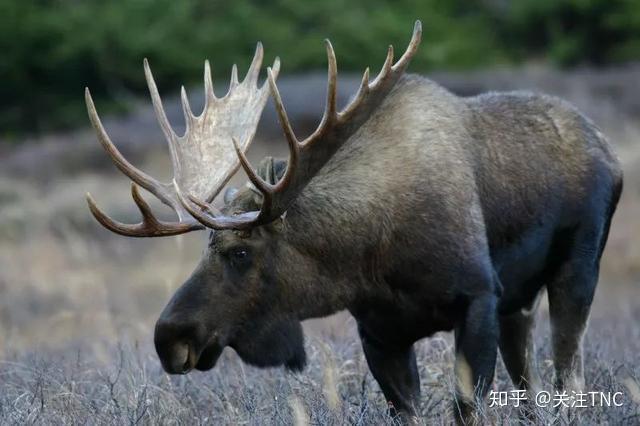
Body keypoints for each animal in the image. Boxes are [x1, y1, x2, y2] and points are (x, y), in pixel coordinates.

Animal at [84, 21, 623, 424]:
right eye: (206, 246)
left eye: (241, 251)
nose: (169, 337)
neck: (369, 259)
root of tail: (607, 149)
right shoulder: (380, 333)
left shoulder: (479, 298)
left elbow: (467, 408)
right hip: (521, 302)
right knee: (531, 388)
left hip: (577, 268)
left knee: (568, 375)